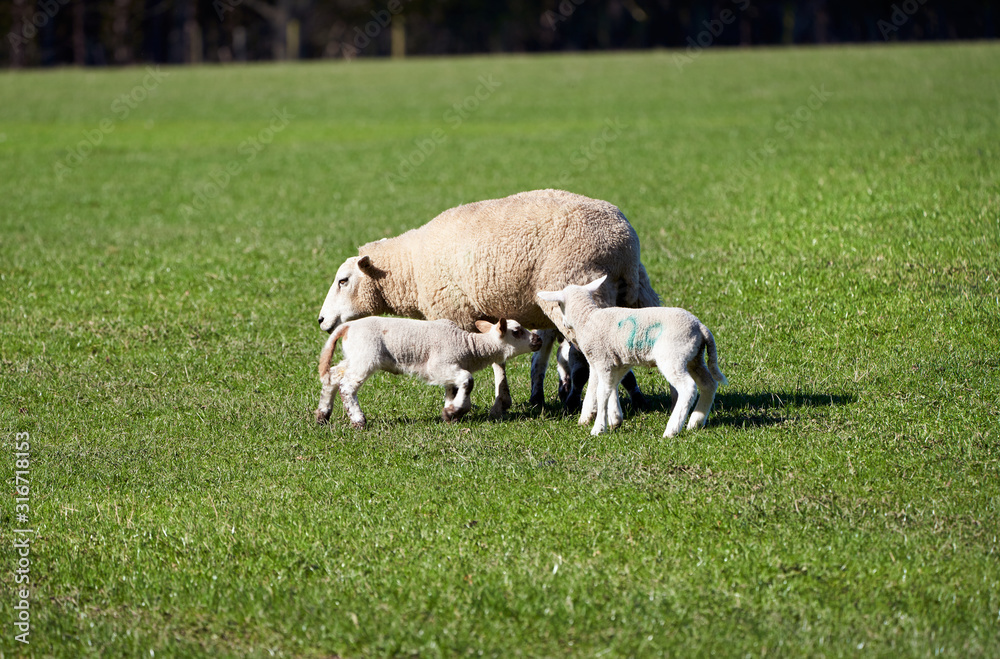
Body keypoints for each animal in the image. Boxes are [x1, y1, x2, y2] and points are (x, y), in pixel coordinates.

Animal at [315, 317, 542, 428]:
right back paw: (358, 420)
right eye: (517, 332)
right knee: (347, 386)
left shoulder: (450, 368)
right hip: (366, 356)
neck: (469, 346)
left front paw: (451, 413)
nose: (538, 339)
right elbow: (468, 380)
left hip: (355, 355)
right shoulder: (438, 366)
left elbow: (453, 389)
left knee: (333, 376)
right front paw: (455, 411)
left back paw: (323, 415)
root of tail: (347, 327)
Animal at [317, 189, 660, 417]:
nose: (321, 320)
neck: (410, 269)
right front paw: (501, 402)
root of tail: (622, 241)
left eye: (343, 281)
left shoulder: (453, 313)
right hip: (636, 290)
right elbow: (498, 354)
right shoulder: (484, 313)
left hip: (575, 286)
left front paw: (459, 405)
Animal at [538, 276, 728, 437]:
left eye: (559, 304)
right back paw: (696, 422)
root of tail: (700, 327)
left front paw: (598, 428)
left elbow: (601, 392)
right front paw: (613, 419)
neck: (587, 318)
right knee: (709, 384)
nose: (563, 324)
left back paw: (672, 430)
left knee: (688, 388)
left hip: (673, 357)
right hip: (695, 358)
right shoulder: (618, 363)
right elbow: (609, 388)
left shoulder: (602, 360)